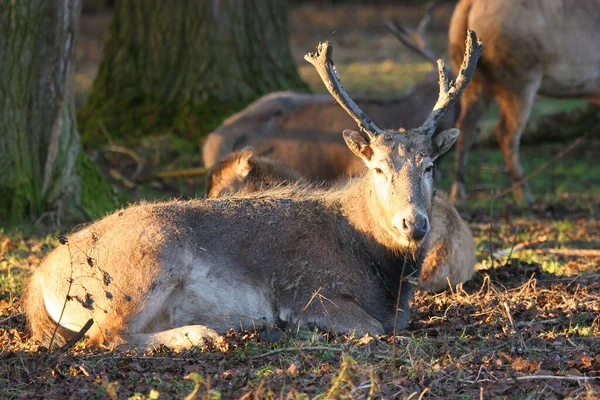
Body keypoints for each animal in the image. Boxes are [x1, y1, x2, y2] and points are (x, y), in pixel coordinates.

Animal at [448, 0, 596, 205]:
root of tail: (467, 6)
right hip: (519, 76)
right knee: (505, 132)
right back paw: (524, 195)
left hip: (475, 78)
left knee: (465, 127)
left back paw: (458, 195)